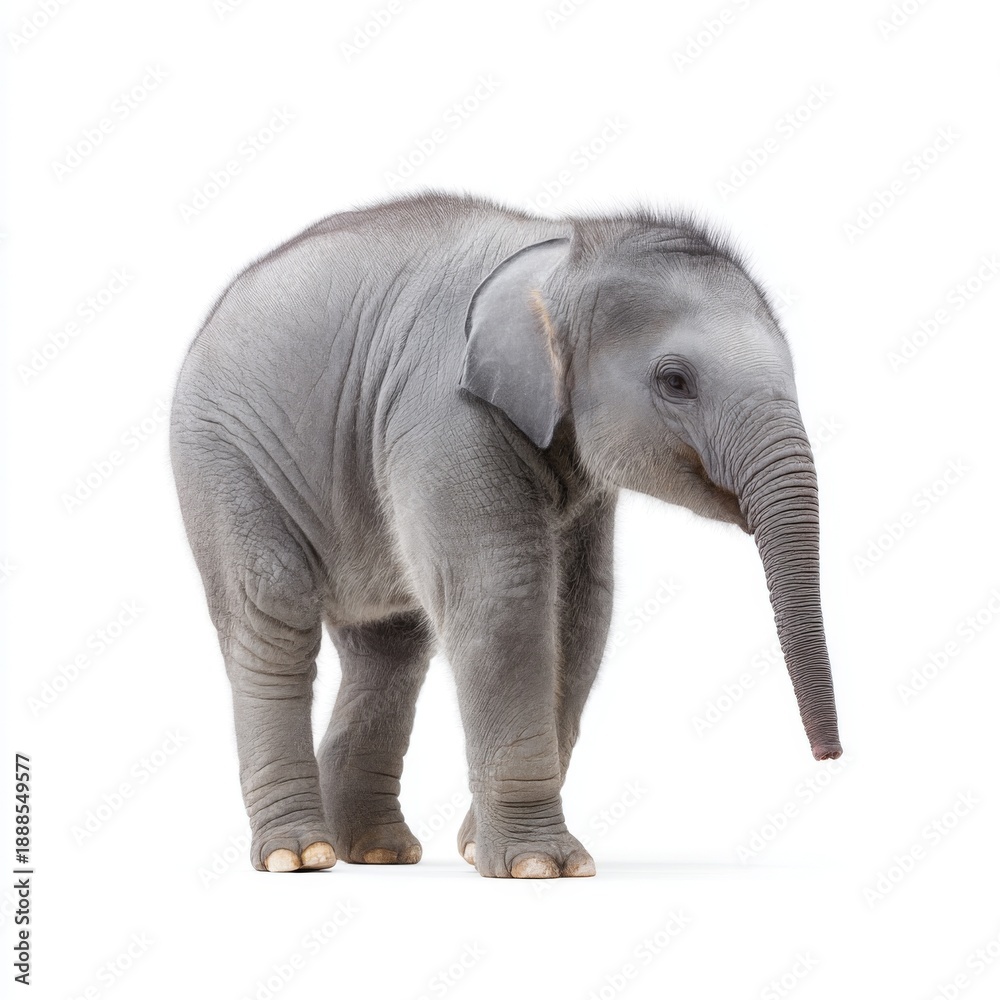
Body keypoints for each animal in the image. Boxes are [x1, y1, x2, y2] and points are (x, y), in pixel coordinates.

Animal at [169, 191, 842, 879]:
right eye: (675, 382)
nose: (829, 757)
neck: (566, 248)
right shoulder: (442, 413)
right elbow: (504, 597)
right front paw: (536, 866)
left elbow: (581, 612)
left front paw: (482, 849)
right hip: (223, 458)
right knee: (273, 616)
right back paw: (300, 855)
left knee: (389, 646)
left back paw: (380, 852)